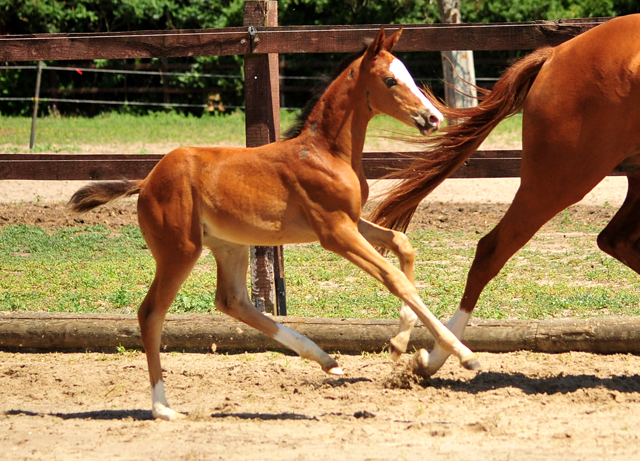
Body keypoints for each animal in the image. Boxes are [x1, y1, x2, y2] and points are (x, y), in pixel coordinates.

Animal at [71, 28, 480, 420]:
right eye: (391, 80)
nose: (434, 118)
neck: (327, 152)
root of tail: (147, 180)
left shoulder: (350, 222)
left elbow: (401, 243)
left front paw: (399, 343)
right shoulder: (334, 232)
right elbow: (393, 277)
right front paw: (462, 353)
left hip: (229, 244)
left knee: (232, 301)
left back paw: (326, 360)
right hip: (180, 251)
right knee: (151, 314)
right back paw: (163, 407)